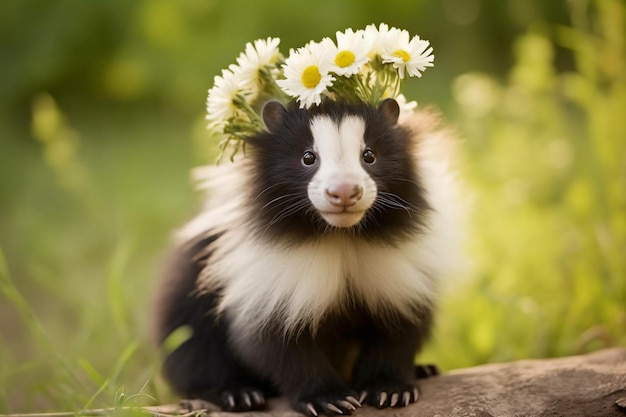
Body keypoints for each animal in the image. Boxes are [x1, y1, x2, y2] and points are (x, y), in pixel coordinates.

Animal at [155, 96, 458, 412]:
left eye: (369, 155)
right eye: (308, 158)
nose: (344, 191)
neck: (341, 237)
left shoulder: (401, 277)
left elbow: (397, 331)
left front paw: (390, 390)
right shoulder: (268, 283)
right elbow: (280, 344)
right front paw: (327, 399)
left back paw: (425, 369)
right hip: (187, 294)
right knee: (195, 348)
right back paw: (237, 394)